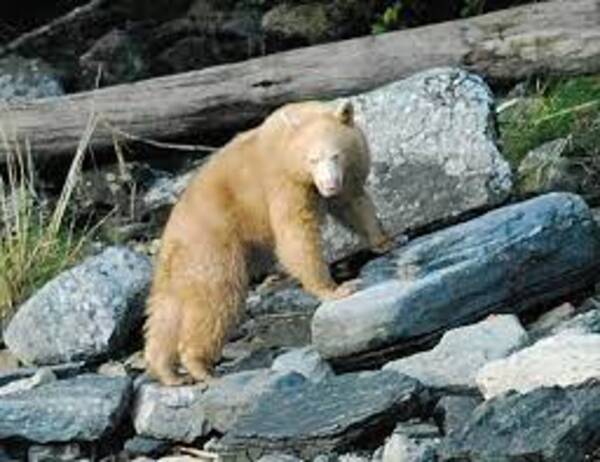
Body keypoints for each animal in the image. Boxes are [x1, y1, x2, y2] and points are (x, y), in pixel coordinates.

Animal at [144, 100, 390, 386]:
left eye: (335, 155)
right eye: (312, 159)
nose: (329, 185)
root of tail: (171, 235)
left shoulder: (345, 175)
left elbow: (352, 203)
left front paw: (385, 240)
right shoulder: (284, 183)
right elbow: (295, 232)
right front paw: (337, 289)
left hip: (177, 267)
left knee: (165, 312)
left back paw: (166, 370)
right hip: (213, 244)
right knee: (218, 297)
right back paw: (199, 366)